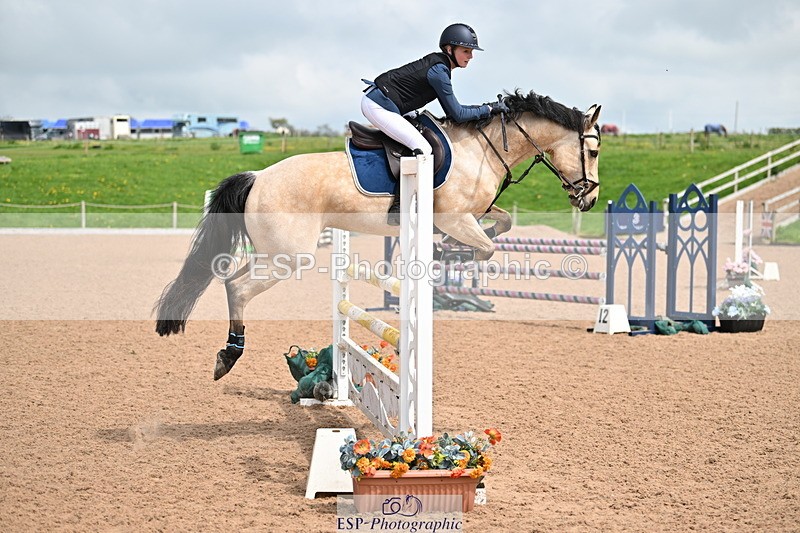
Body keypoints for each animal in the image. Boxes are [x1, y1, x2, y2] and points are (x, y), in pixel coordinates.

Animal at [154, 90, 603, 380]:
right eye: (594, 151)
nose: (590, 198)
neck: (482, 148)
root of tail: (258, 176)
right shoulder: (454, 217)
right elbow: (487, 247)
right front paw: (448, 255)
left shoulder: (470, 214)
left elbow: (503, 224)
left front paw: (451, 253)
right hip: (288, 256)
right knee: (238, 287)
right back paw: (230, 355)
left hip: (274, 252)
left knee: (233, 280)